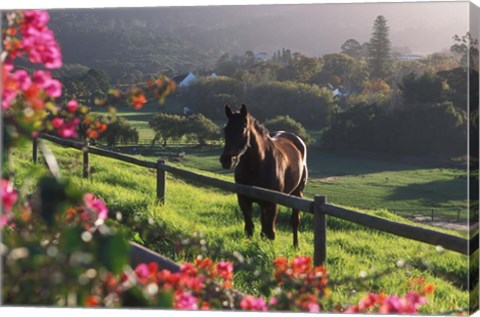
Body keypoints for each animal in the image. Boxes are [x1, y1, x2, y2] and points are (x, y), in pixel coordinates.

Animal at [220, 103, 310, 247]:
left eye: (243, 128)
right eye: (226, 129)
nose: (227, 160)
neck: (257, 164)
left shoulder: (272, 202)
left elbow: (270, 232)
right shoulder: (243, 199)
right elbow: (250, 228)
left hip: (297, 193)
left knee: (295, 221)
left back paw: (296, 246)